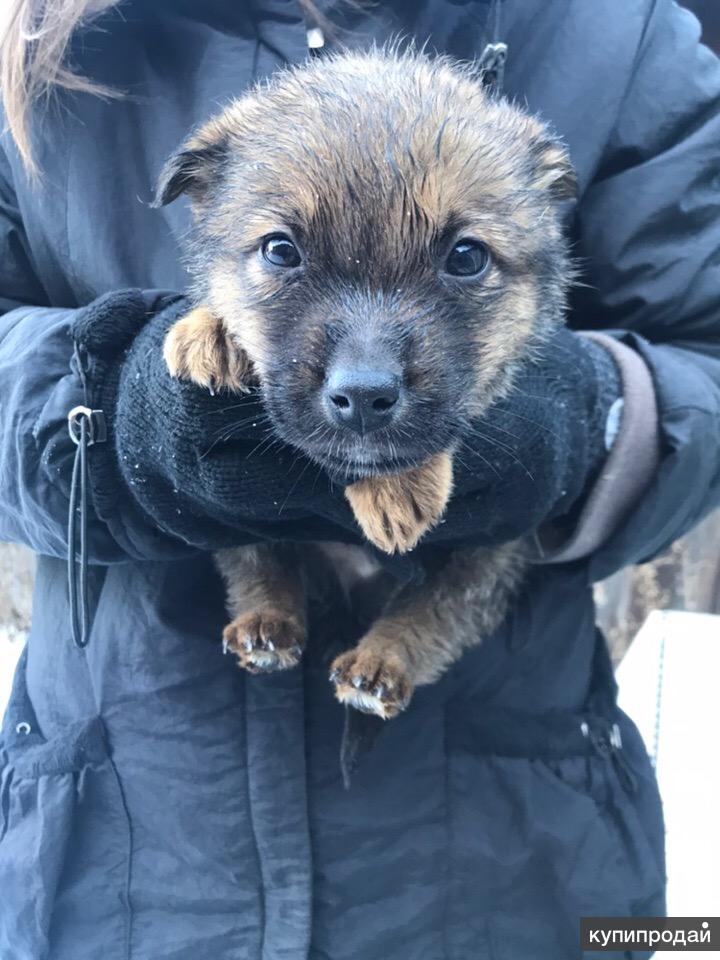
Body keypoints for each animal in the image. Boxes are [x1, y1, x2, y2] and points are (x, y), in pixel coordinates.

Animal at [153, 48, 572, 716]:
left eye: (466, 257)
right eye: (280, 250)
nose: (363, 397)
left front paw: (397, 487)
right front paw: (208, 332)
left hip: (488, 558)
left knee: (431, 617)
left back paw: (377, 667)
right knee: (257, 561)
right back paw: (267, 626)